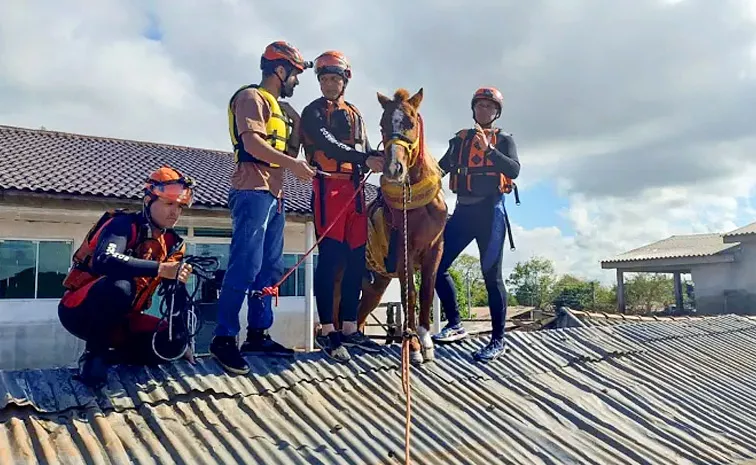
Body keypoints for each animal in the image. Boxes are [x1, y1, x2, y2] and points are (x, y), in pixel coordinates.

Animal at [328, 86, 446, 362]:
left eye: (411, 122)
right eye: (382, 124)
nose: (394, 169)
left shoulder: (435, 249)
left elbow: (426, 291)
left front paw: (425, 341)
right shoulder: (404, 252)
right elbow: (409, 295)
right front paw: (412, 345)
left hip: (375, 287)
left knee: (359, 314)